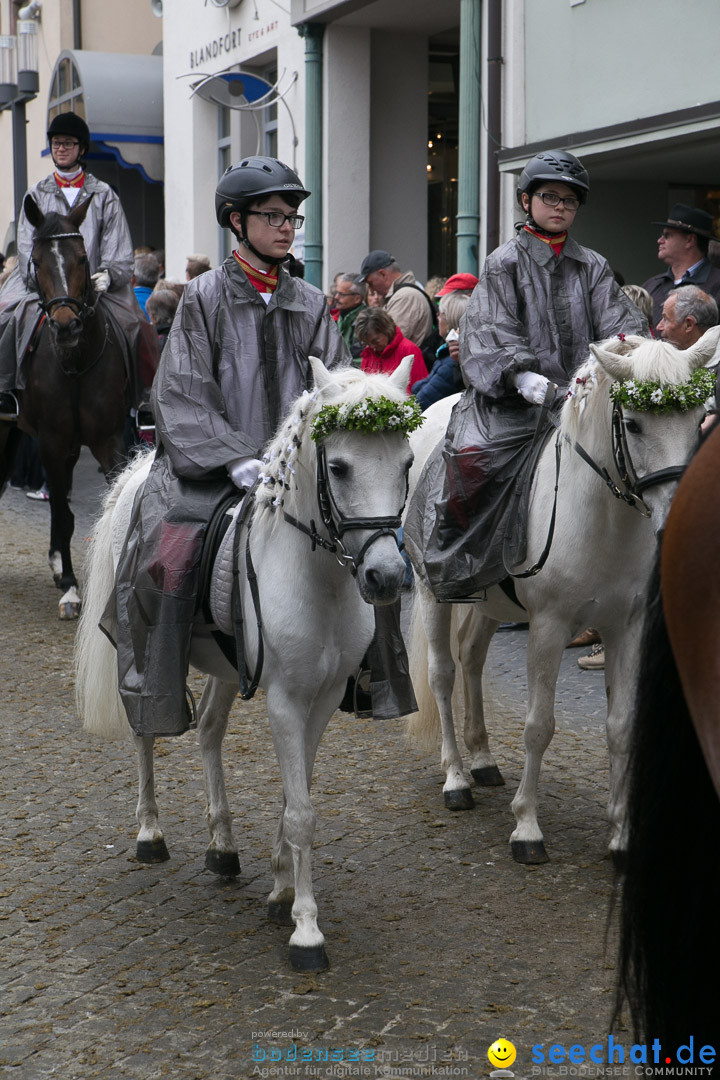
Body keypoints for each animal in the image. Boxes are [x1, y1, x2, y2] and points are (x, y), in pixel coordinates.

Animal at [3, 194, 129, 617]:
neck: (74, 363)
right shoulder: (51, 442)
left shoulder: (108, 440)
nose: (65, 326)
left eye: (82, 258)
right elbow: (60, 506)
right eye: (38, 262)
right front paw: (72, 588)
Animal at [74, 354, 416, 972]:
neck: (317, 582)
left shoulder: (322, 701)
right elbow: (301, 811)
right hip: (144, 652)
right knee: (144, 730)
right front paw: (306, 930)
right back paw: (150, 833)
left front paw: (281, 891)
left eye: (406, 462)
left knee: (209, 730)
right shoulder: (284, 701)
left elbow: (293, 797)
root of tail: (136, 474)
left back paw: (223, 848)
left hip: (227, 668)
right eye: (340, 467)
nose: (384, 576)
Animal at [405, 326, 720, 859]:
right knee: (442, 675)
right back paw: (456, 779)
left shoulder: (625, 627)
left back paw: (483, 759)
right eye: (633, 425)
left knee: (471, 659)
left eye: (700, 419)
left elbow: (620, 726)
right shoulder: (549, 627)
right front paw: (527, 827)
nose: (679, 523)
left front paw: (621, 831)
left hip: (488, 603)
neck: (603, 523)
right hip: (433, 592)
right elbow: (539, 726)